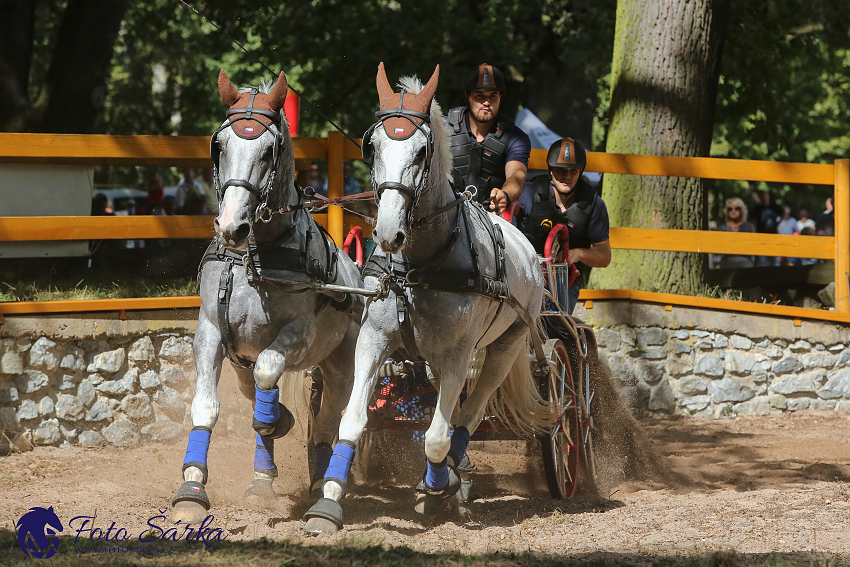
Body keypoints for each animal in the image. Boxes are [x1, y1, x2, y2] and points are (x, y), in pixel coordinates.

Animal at [171, 72, 360, 528]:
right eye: (220, 145)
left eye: (269, 150)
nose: (231, 226)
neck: (253, 259)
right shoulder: (210, 331)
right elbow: (207, 407)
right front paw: (192, 487)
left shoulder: (298, 335)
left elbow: (269, 375)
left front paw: (275, 427)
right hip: (242, 360)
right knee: (255, 390)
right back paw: (265, 473)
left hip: (341, 365)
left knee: (323, 419)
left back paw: (315, 479)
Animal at [304, 64, 548, 536]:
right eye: (373, 146)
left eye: (421, 152)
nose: (387, 232)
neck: (421, 266)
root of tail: (529, 250)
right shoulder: (373, 339)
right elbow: (352, 420)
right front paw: (327, 503)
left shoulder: (458, 354)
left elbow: (437, 437)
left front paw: (438, 486)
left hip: (506, 346)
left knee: (468, 415)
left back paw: (451, 476)